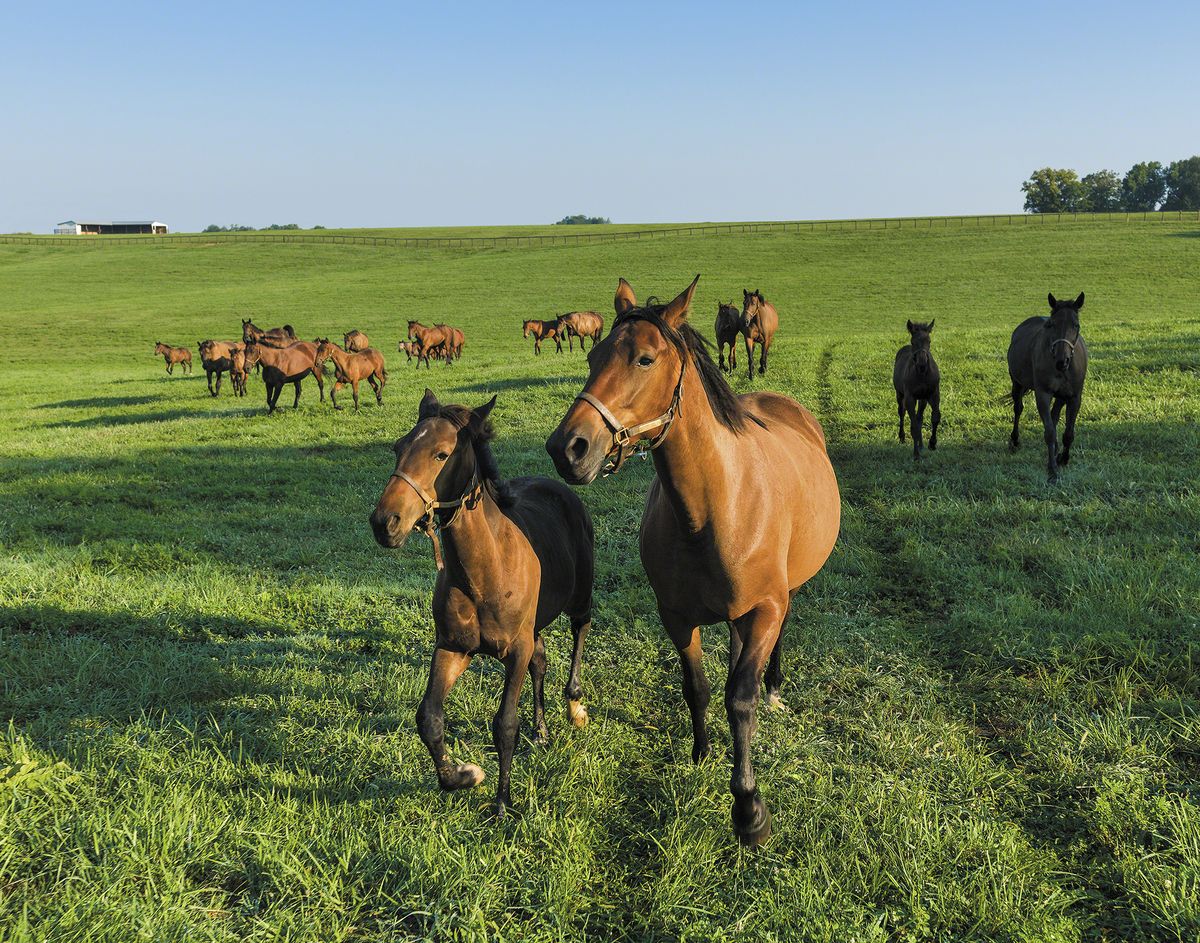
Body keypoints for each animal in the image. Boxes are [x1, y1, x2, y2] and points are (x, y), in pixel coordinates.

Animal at [364, 388, 590, 815]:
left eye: (441, 454)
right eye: (398, 447)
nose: (385, 522)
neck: (485, 573)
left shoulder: (514, 650)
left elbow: (505, 725)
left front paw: (502, 803)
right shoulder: (453, 647)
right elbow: (429, 718)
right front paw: (463, 776)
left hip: (581, 597)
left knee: (579, 634)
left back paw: (574, 706)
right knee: (541, 662)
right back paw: (541, 730)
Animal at [544, 272, 835, 844]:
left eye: (644, 359)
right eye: (592, 356)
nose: (568, 448)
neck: (717, 509)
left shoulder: (765, 607)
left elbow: (739, 699)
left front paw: (749, 809)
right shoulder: (676, 617)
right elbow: (697, 688)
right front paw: (701, 753)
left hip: (782, 594)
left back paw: (774, 687)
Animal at [892, 319, 936, 458]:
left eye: (929, 341)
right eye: (913, 342)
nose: (922, 363)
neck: (921, 374)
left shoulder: (933, 394)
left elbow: (935, 417)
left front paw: (932, 444)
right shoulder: (910, 398)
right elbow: (914, 427)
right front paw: (916, 455)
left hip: (922, 399)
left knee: (919, 418)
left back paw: (921, 445)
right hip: (900, 395)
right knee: (902, 412)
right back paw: (902, 437)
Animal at [1003, 291, 1089, 482]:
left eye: (1076, 325)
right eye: (1051, 324)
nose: (1061, 361)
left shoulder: (1074, 397)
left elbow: (1068, 432)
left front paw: (1063, 458)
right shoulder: (1043, 394)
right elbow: (1049, 432)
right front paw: (1052, 470)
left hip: (1061, 396)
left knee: (1055, 416)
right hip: (1017, 384)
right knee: (1018, 409)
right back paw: (1015, 441)